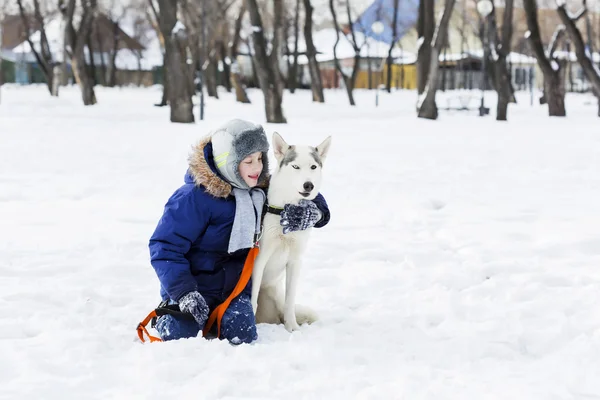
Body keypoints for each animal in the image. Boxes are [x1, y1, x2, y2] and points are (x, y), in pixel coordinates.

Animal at [250, 133, 332, 332]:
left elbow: (290, 301)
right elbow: (252, 299)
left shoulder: (295, 261)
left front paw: (292, 328)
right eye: (295, 166)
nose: (308, 185)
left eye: (313, 166)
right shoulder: (259, 259)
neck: (286, 211)